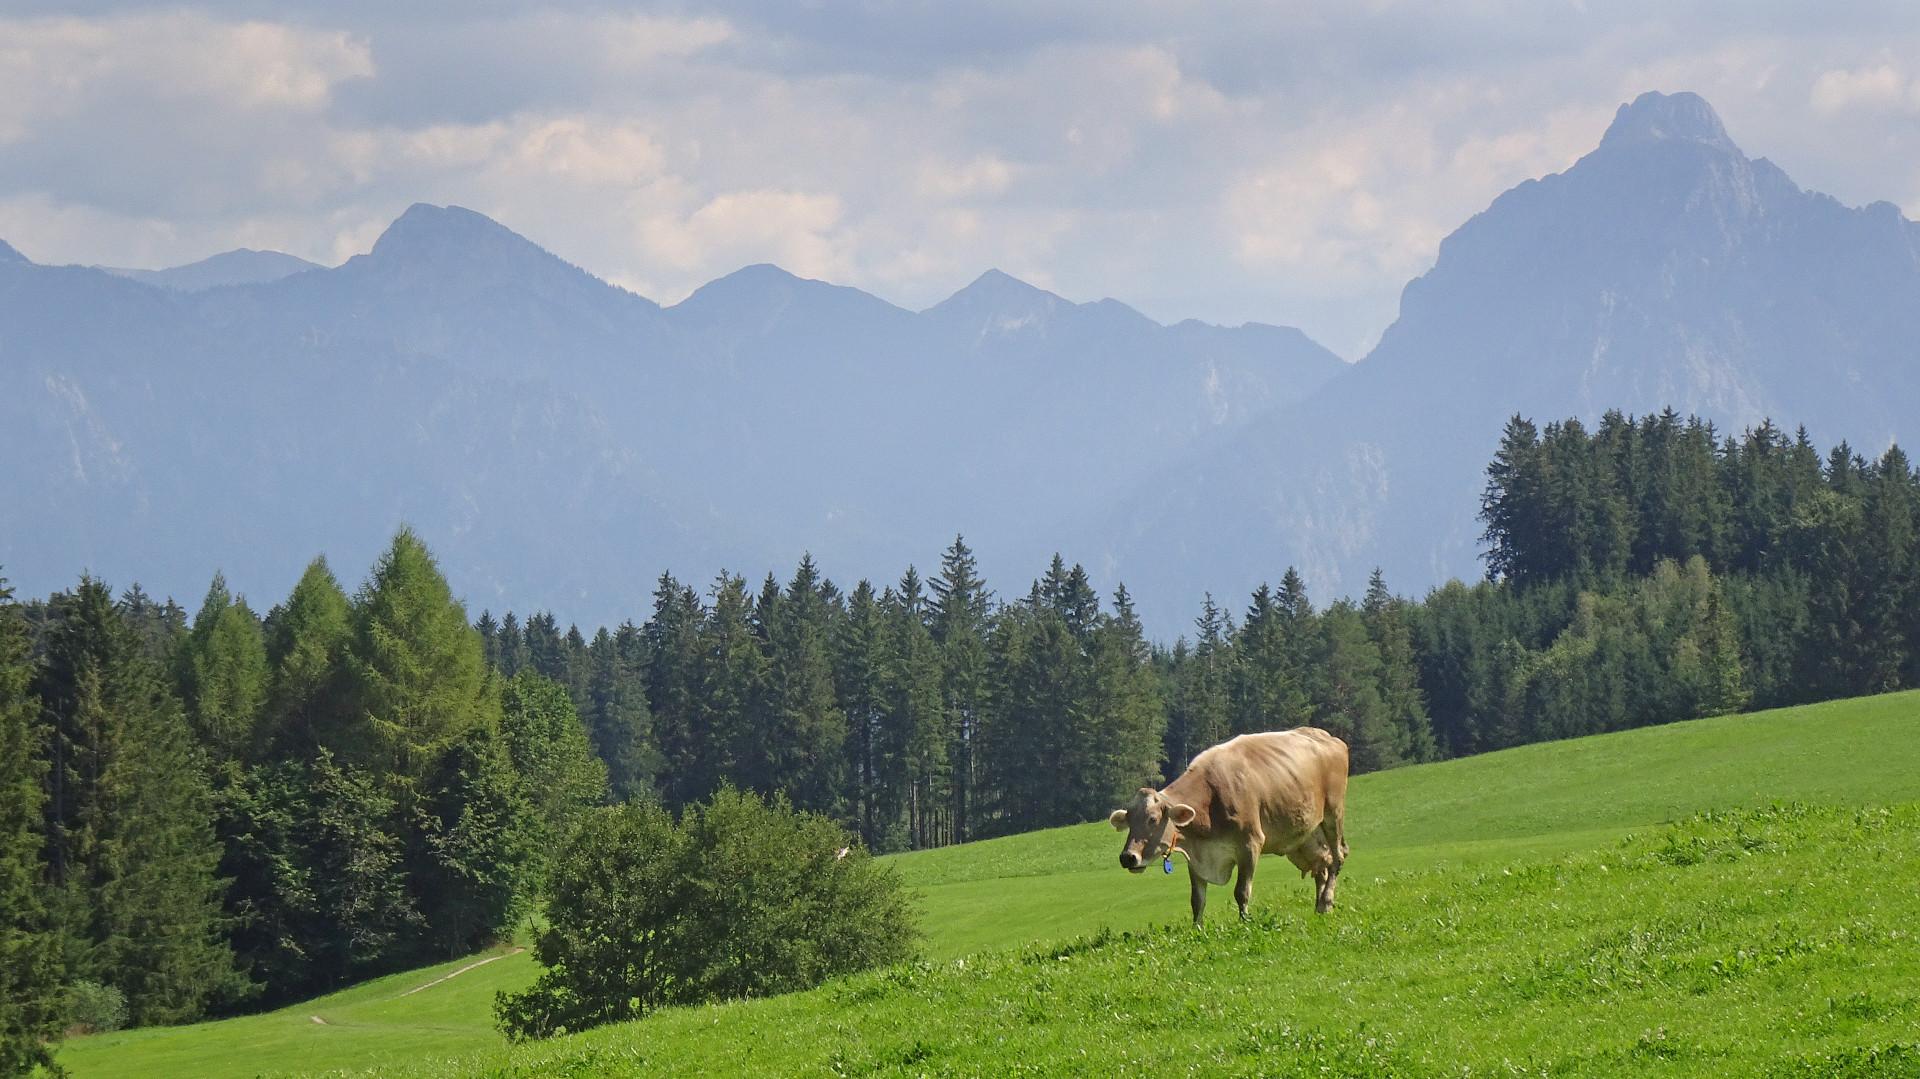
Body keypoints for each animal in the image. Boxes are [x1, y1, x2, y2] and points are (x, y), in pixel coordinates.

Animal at [1113, 721, 1351, 913]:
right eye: (1129, 822)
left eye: (1152, 819)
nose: (1127, 857)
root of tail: (1327, 737)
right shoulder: (1196, 856)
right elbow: (1197, 900)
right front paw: (1197, 930)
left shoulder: (1250, 844)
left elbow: (1241, 891)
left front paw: (1245, 922)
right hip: (1306, 834)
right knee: (1322, 865)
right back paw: (1319, 907)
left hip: (1333, 812)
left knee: (1338, 856)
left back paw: (1326, 902)